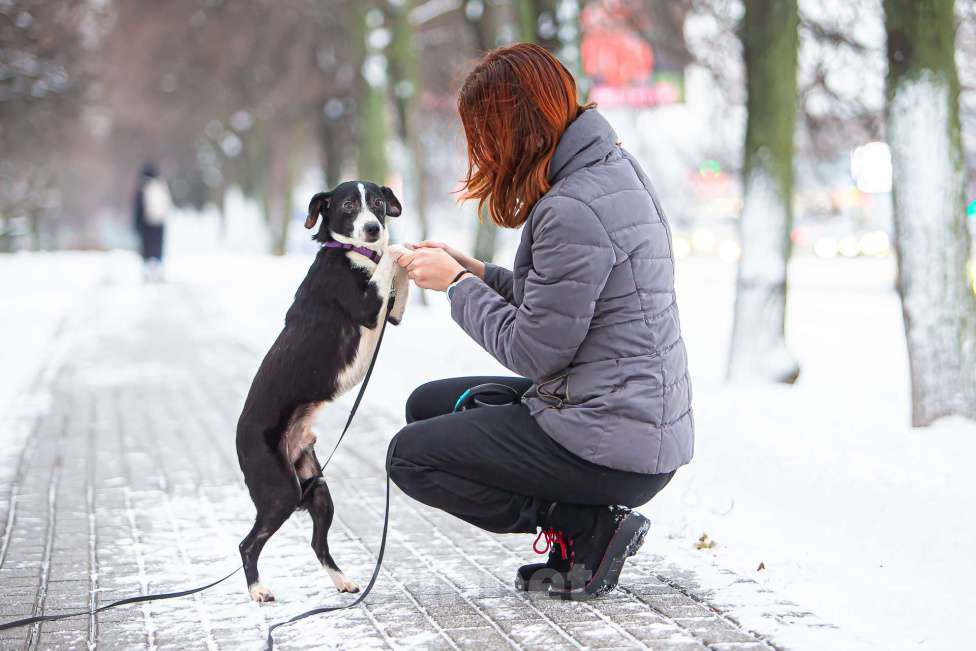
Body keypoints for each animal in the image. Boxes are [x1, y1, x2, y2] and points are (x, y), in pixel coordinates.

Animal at [238, 181, 410, 604]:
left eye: (377, 203)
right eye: (348, 205)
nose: (372, 229)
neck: (353, 254)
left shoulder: (391, 314)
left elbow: (399, 279)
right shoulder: (367, 307)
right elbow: (390, 258)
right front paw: (399, 248)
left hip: (317, 489)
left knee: (317, 544)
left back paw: (342, 581)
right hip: (280, 492)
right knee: (247, 544)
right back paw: (258, 590)